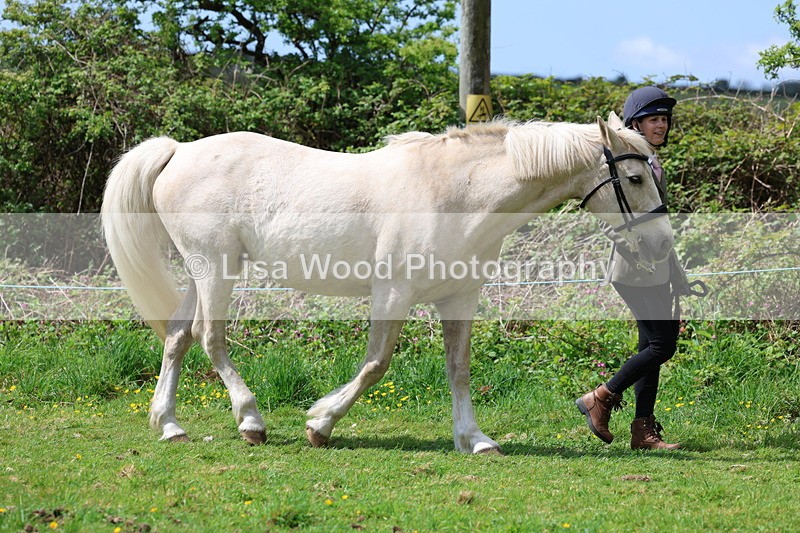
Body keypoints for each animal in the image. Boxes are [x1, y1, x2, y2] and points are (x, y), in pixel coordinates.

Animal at [101, 113, 673, 453]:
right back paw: (251, 421)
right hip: (215, 268)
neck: (455, 193)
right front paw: (321, 424)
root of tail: (179, 150)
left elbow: (459, 369)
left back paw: (170, 425)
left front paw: (475, 438)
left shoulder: (459, 297)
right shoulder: (393, 293)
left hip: (202, 271)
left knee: (178, 337)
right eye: (635, 178)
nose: (663, 247)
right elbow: (376, 365)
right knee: (209, 338)